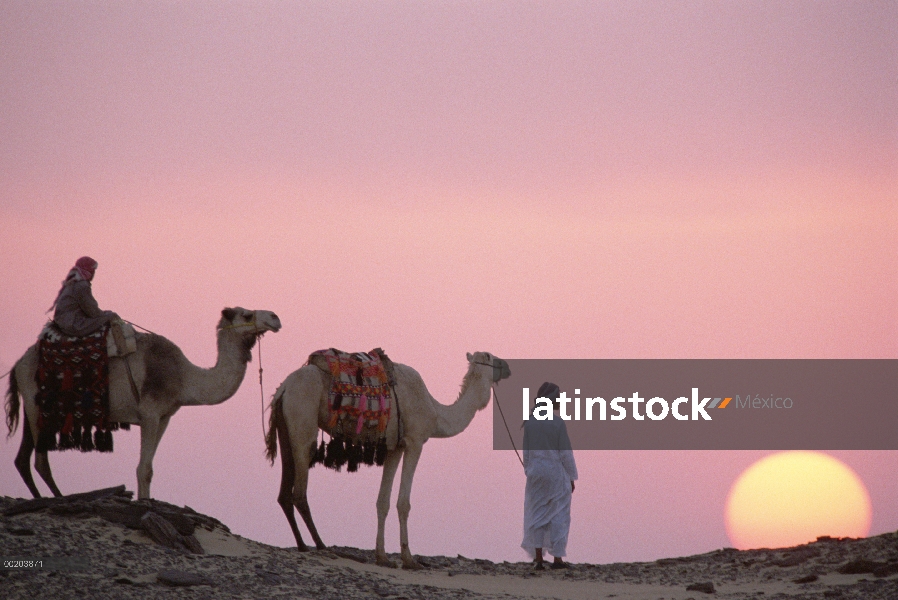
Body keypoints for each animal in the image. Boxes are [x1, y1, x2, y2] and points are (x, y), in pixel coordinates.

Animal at [5, 308, 280, 500]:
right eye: (247, 313)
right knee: (40, 460)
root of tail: (18, 363)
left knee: (23, 459)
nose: (275, 318)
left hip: (34, 407)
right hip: (39, 405)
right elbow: (143, 468)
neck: (184, 377)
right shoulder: (149, 412)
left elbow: (148, 468)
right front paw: (145, 503)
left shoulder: (164, 417)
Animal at [262, 350, 508, 568]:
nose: (507, 366)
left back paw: (303, 545)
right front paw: (409, 560)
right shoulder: (415, 441)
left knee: (284, 493)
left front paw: (382, 558)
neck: (436, 413)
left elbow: (383, 501)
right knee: (300, 491)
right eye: (491, 357)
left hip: (286, 426)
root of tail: (284, 388)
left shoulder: (394, 447)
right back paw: (321, 545)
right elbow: (403, 503)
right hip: (303, 420)